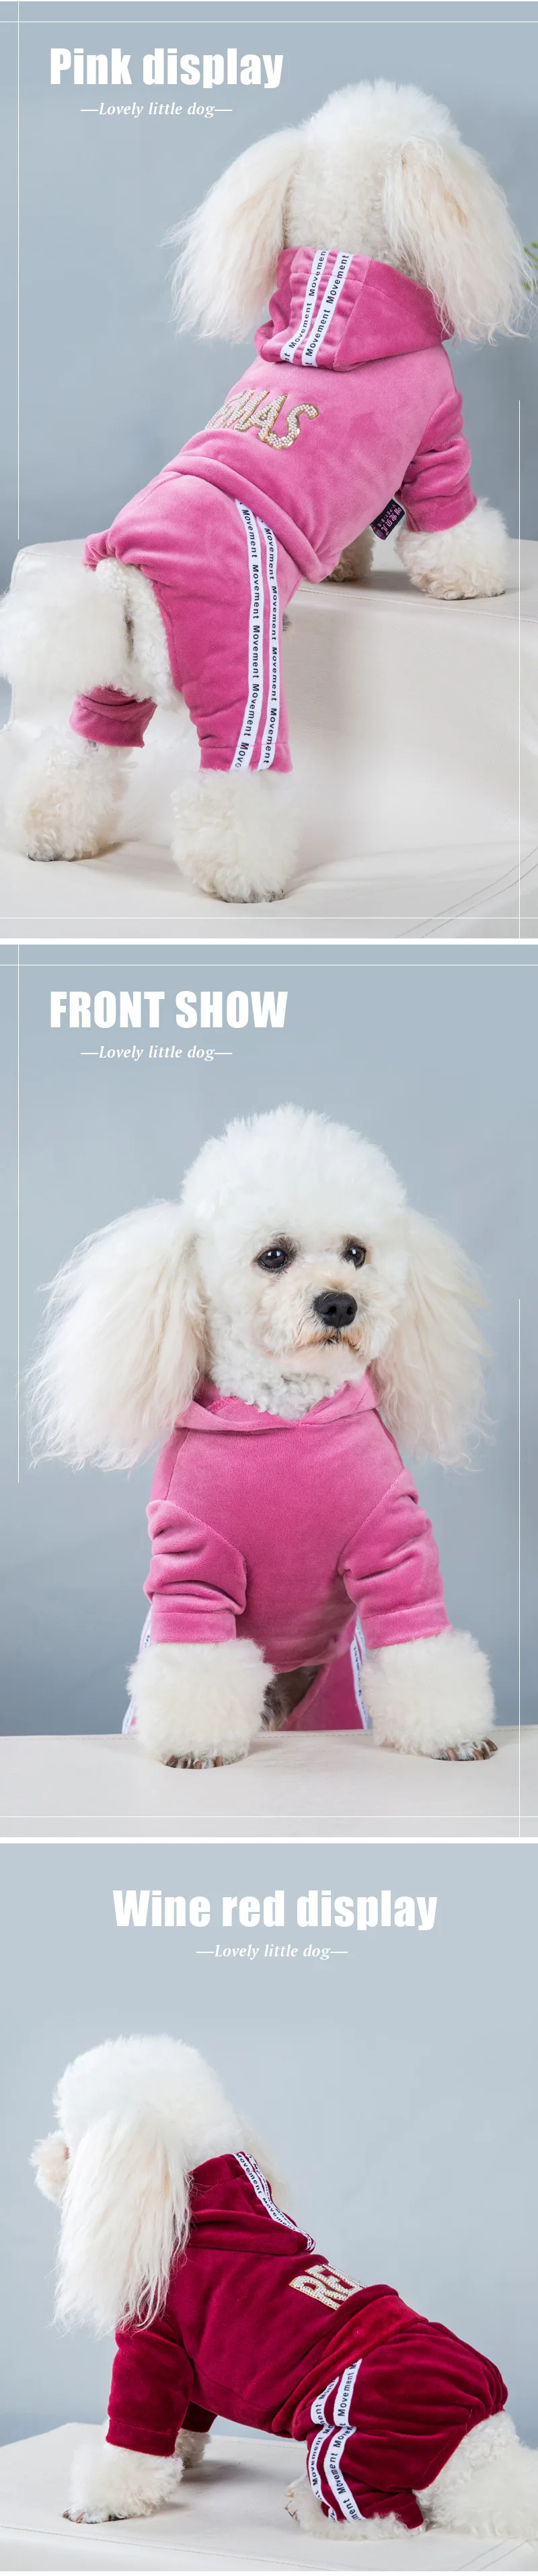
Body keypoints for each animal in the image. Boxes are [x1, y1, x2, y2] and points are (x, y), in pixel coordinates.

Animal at [0, 82, 527, 901]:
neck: (345, 274)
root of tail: (125, 574)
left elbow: (356, 530)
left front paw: (346, 570)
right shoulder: (437, 439)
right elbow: (450, 525)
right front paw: (480, 579)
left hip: (114, 680)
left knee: (80, 750)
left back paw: (52, 833)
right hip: (238, 666)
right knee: (234, 777)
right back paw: (244, 875)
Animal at [30, 1104, 497, 1769]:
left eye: (357, 1253)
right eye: (274, 1255)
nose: (339, 1304)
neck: (289, 1418)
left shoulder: (394, 1542)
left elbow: (417, 1635)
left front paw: (450, 1733)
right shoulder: (192, 1559)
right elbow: (195, 1662)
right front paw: (196, 1744)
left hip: (332, 1694)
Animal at [32, 2033, 538, 2542]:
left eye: (72, 2146)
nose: (39, 2157)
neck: (195, 2199)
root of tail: (487, 2446)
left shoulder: (153, 2348)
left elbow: (132, 2442)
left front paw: (102, 2503)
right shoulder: (187, 2369)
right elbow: (187, 2417)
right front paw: (181, 2454)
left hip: (358, 2441)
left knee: (390, 2519)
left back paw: (309, 2506)